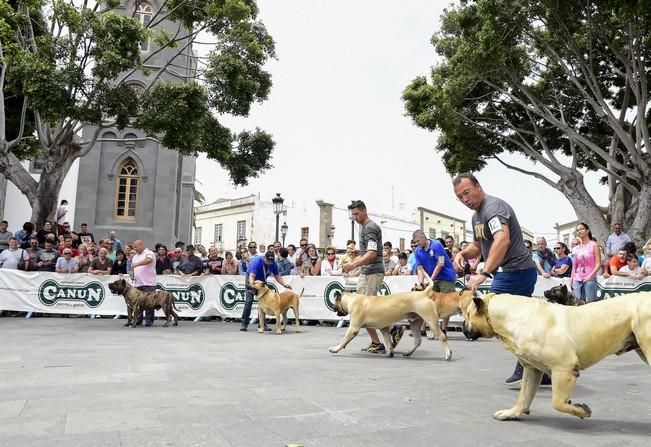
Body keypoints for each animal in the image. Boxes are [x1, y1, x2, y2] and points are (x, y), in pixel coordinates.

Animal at [464, 292, 651, 422]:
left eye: (466, 314)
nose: (464, 327)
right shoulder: (532, 369)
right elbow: (524, 396)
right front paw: (513, 413)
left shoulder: (564, 368)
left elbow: (558, 402)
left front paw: (581, 410)